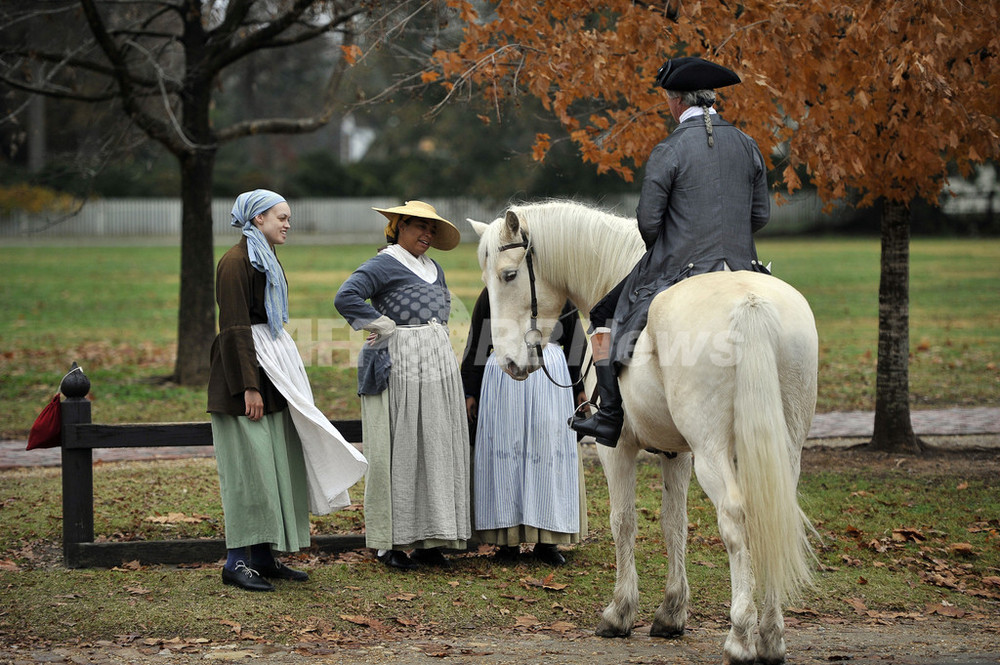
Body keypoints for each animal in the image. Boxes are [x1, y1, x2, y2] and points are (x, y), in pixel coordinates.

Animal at [472, 200, 816, 664]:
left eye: (508, 275)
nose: (508, 362)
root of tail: (750, 302)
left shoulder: (616, 448)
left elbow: (623, 521)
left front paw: (619, 612)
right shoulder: (679, 453)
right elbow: (675, 523)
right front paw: (671, 613)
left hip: (713, 453)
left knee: (735, 518)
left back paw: (741, 636)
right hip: (782, 449)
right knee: (772, 515)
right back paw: (772, 636)